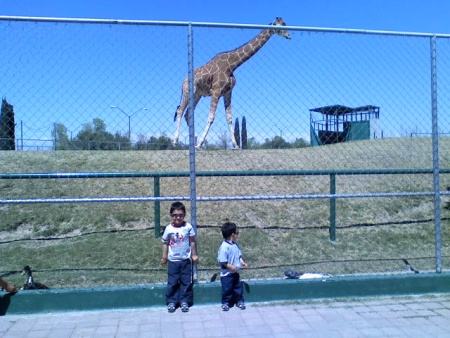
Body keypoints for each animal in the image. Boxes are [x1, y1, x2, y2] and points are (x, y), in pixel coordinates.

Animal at [172, 17, 292, 149]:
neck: (232, 65)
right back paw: (175, 141)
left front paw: (236, 145)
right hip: (189, 92)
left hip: (197, 95)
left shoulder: (227, 92)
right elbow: (211, 117)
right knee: (180, 110)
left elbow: (229, 118)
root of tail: (182, 82)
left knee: (188, 113)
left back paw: (192, 142)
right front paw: (200, 144)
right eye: (282, 25)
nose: (289, 36)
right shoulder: (216, 90)